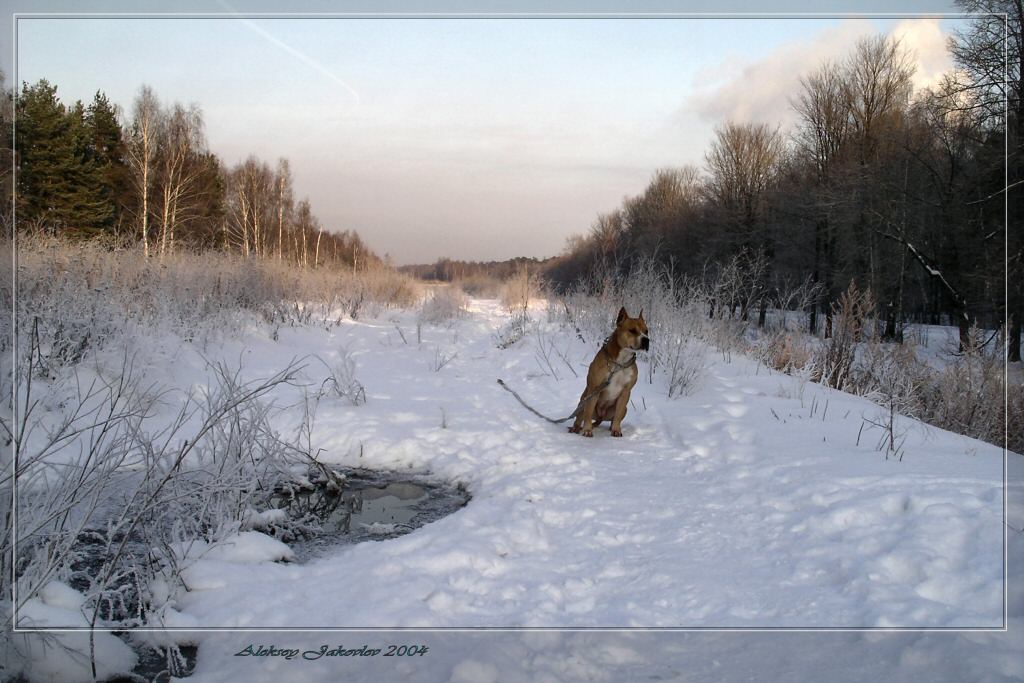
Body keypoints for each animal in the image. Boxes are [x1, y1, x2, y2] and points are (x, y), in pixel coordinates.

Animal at [569, 305, 647, 436]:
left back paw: (611, 427)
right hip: (583, 401)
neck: (620, 362)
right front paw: (587, 430)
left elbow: (618, 415)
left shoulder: (625, 392)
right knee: (581, 416)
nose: (646, 340)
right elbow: (588, 413)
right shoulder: (594, 388)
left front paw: (616, 429)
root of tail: (601, 416)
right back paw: (576, 428)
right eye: (632, 330)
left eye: (646, 331)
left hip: (624, 409)